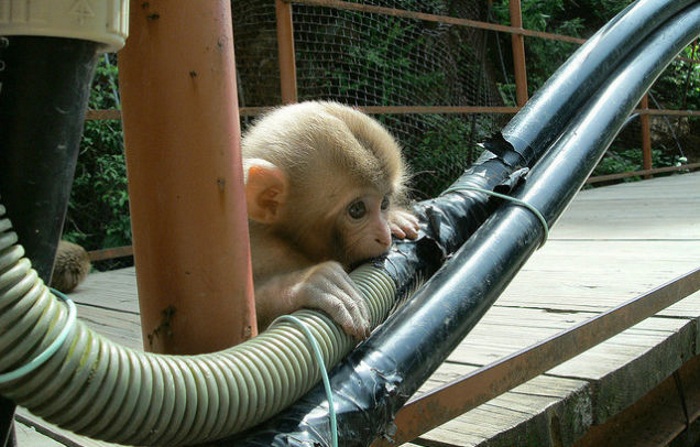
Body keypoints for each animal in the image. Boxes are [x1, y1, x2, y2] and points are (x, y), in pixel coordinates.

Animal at [242, 101, 416, 340]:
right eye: (357, 210)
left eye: (384, 203)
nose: (384, 237)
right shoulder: (262, 252)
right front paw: (307, 283)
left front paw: (396, 219)